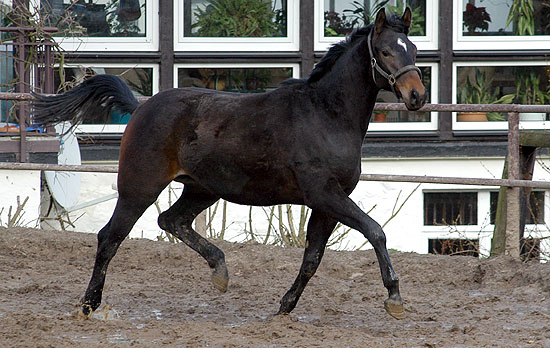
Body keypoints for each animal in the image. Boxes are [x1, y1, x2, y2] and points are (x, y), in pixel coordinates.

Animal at [33, 7, 426, 320]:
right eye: (386, 51)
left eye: (414, 49)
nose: (417, 96)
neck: (325, 114)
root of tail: (141, 107)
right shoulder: (325, 195)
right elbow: (375, 231)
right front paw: (394, 299)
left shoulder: (328, 203)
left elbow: (313, 257)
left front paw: (284, 307)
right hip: (139, 186)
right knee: (110, 237)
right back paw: (88, 305)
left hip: (203, 188)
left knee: (171, 220)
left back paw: (219, 271)